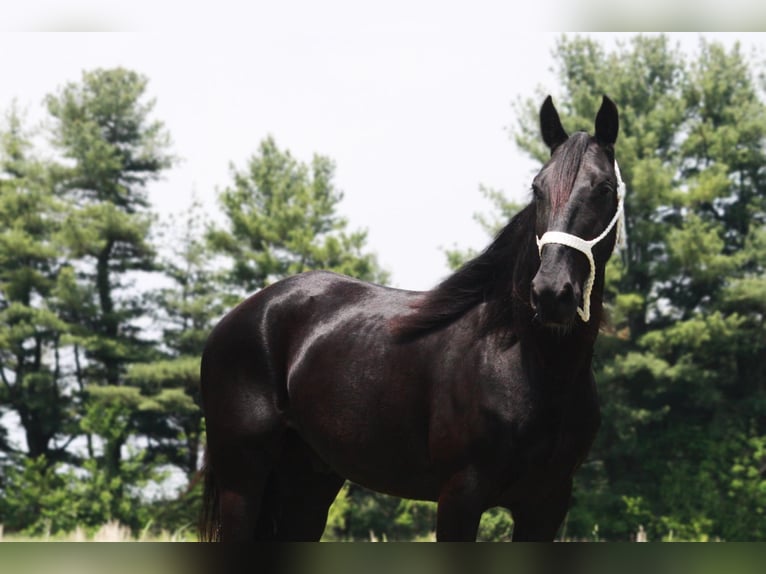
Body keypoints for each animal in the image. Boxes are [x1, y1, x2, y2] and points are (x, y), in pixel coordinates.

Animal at [198, 95, 624, 544]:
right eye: (537, 188)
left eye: (604, 188)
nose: (551, 293)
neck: (531, 366)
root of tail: (242, 315)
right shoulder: (460, 497)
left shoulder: (546, 505)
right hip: (242, 482)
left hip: (308, 481)